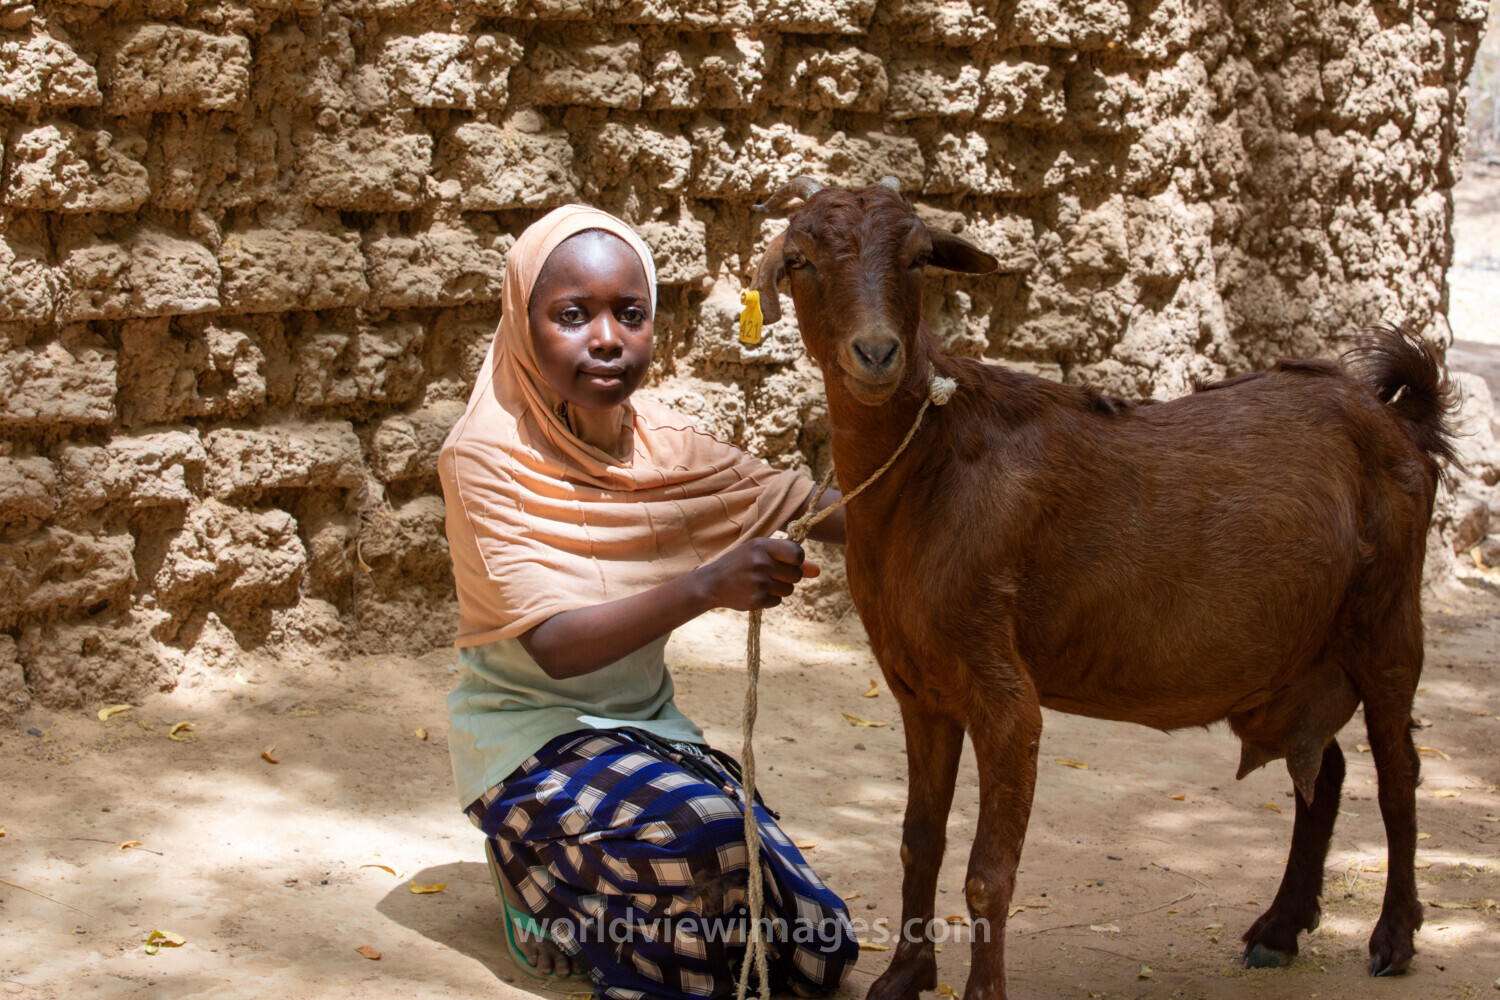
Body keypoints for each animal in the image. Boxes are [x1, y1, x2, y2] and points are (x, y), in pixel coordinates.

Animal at [748, 177, 1457, 1000]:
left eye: (921, 256)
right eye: (800, 259)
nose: (876, 352)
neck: (930, 467)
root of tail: (1401, 420)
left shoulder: (1001, 691)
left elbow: (988, 874)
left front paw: (979, 991)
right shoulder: (919, 689)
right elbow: (918, 842)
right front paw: (903, 976)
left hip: (1387, 621)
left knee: (1399, 772)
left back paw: (1394, 937)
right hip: (1295, 659)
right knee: (1326, 767)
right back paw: (1279, 930)